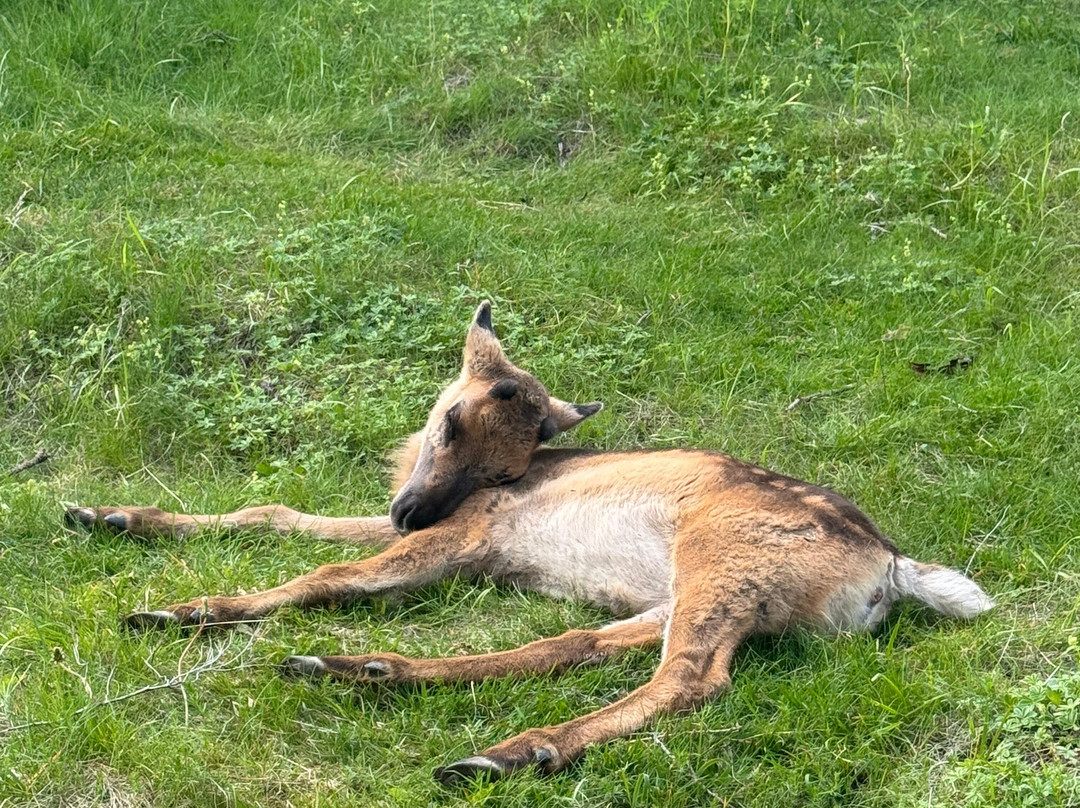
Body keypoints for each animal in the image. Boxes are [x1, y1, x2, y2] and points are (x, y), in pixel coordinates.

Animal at [66, 302, 995, 786]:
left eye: (510, 464)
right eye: (448, 419)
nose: (413, 509)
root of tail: (889, 571)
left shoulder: (467, 535)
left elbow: (333, 570)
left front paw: (179, 608)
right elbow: (279, 513)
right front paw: (104, 516)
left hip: (721, 560)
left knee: (691, 678)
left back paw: (514, 749)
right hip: (677, 594)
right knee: (575, 643)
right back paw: (368, 676)